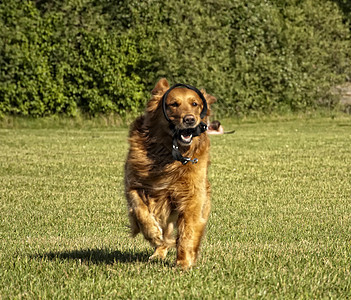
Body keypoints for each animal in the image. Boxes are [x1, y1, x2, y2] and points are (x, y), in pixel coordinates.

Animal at [125, 77, 216, 270]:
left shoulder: (192, 196)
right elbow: (140, 210)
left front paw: (183, 262)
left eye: (195, 104)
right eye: (173, 104)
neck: (168, 155)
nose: (189, 119)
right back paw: (158, 251)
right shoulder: (132, 184)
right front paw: (153, 233)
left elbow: (187, 231)